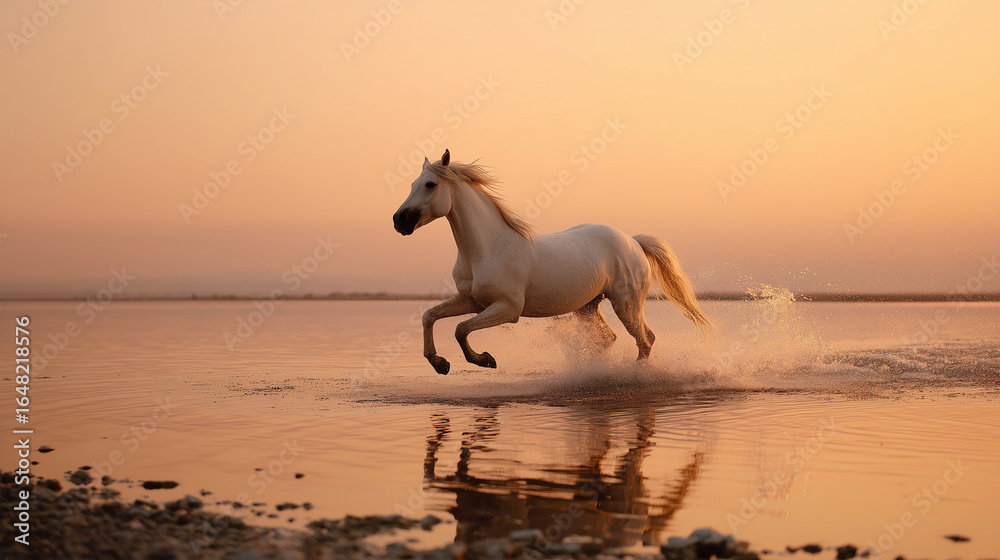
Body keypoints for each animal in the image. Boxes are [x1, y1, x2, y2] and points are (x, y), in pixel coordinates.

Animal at [392, 149, 711, 375]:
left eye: (430, 184)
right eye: (412, 183)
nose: (399, 220)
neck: (488, 248)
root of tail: (632, 241)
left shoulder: (507, 309)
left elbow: (460, 329)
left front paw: (484, 360)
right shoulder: (471, 301)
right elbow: (430, 316)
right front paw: (439, 363)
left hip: (626, 304)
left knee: (645, 340)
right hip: (588, 307)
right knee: (611, 339)